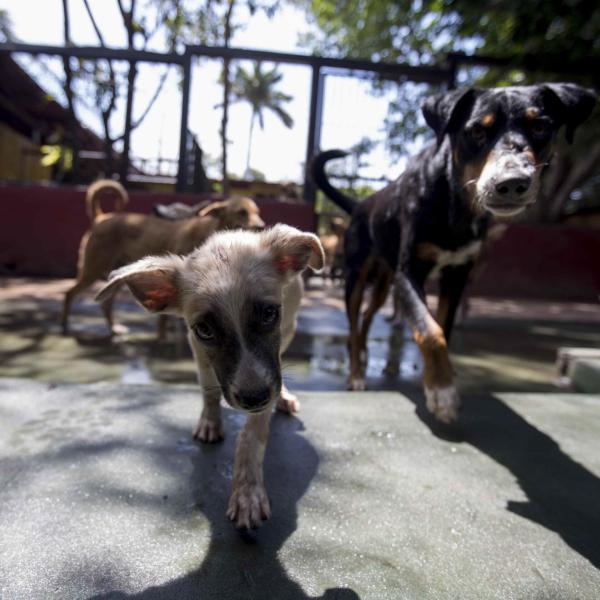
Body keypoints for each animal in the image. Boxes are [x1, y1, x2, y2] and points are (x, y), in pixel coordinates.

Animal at [61, 180, 264, 336]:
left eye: (257, 212)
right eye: (241, 212)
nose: (261, 226)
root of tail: (102, 217)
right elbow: (165, 321)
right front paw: (162, 339)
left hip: (120, 276)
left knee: (106, 304)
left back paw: (113, 329)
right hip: (93, 270)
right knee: (69, 293)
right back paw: (65, 327)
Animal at [314, 83, 596, 422]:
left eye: (540, 127)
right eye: (476, 131)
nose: (512, 182)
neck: (455, 202)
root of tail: (360, 205)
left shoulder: (457, 276)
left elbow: (444, 328)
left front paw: (441, 376)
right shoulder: (408, 275)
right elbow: (430, 330)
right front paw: (442, 391)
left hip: (383, 281)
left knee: (368, 317)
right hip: (358, 277)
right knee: (355, 323)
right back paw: (356, 373)